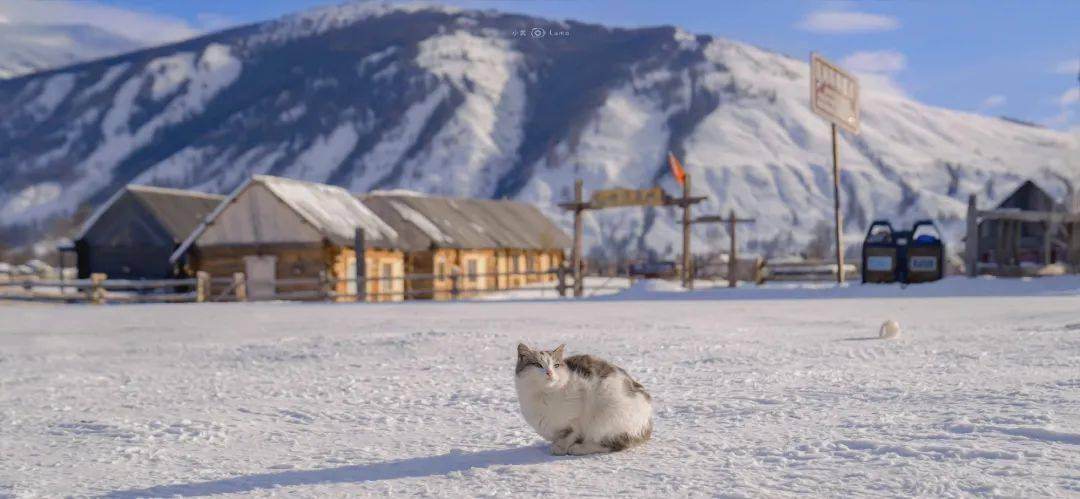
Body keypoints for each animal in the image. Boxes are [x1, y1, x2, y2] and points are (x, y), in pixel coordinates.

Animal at [511, 343, 652, 455]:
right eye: (537, 365)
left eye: (556, 365)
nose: (549, 373)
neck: (544, 394)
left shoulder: (574, 419)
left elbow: (568, 434)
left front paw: (560, 448)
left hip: (607, 414)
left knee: (614, 444)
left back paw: (578, 448)